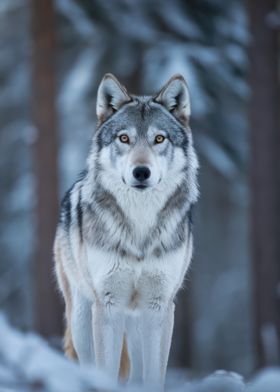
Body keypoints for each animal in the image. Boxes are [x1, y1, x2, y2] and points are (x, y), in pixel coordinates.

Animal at [54, 74, 199, 388]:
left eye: (159, 139)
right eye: (124, 138)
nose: (141, 172)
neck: (140, 226)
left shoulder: (159, 307)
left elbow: (155, 376)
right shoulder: (107, 305)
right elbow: (105, 371)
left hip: (135, 325)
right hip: (82, 318)